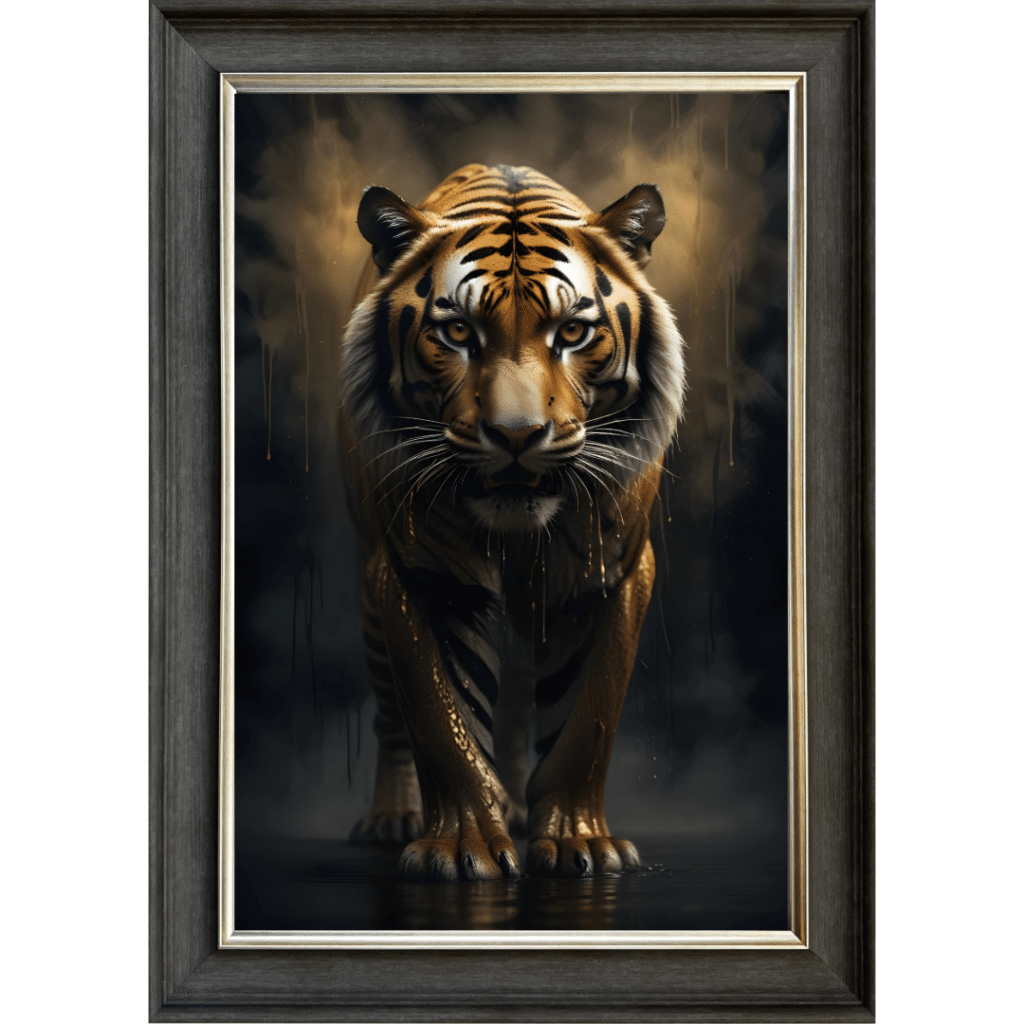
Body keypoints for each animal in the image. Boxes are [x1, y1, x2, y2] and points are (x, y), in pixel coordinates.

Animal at [339, 164, 685, 880]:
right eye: (458, 334)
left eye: (573, 333)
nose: (517, 435)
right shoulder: (417, 575)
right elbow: (439, 720)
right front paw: (462, 847)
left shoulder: (611, 572)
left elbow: (589, 716)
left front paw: (581, 843)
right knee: (390, 717)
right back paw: (393, 817)